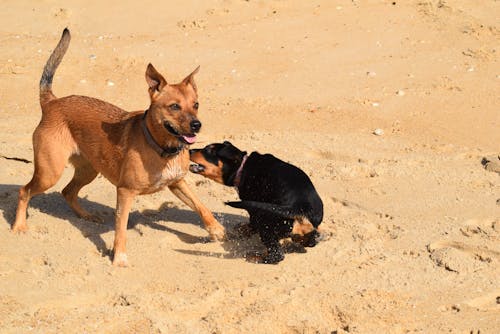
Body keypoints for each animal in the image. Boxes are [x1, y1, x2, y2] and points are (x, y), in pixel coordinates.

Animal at [11, 28, 225, 266]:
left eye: (196, 105)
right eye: (174, 107)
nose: (197, 125)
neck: (161, 148)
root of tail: (51, 102)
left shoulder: (177, 183)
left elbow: (201, 205)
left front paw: (216, 230)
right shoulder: (125, 192)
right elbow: (120, 228)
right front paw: (119, 257)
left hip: (88, 170)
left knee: (68, 192)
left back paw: (86, 216)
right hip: (50, 172)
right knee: (24, 191)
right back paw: (19, 226)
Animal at [188, 141, 324, 264]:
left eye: (209, 150)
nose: (189, 150)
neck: (242, 168)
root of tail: (301, 207)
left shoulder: (253, 207)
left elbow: (252, 223)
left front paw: (243, 230)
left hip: (267, 225)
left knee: (277, 255)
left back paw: (255, 257)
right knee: (311, 241)